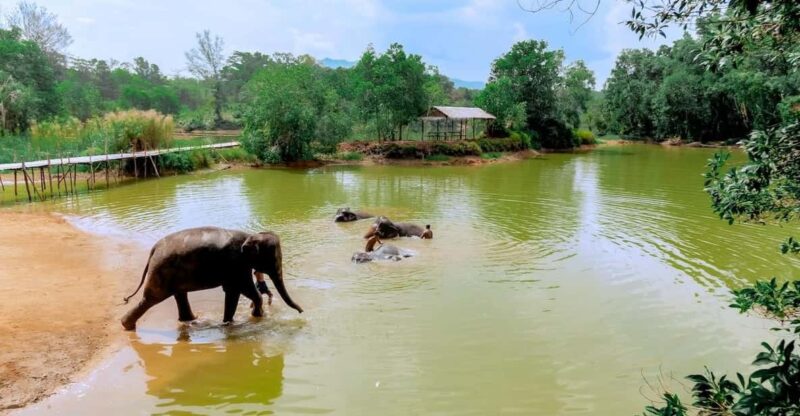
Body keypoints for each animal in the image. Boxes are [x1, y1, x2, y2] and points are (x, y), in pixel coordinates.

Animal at [121, 227, 303, 331]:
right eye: (274, 259)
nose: (301, 312)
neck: (251, 236)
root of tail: (154, 249)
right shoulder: (236, 263)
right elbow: (243, 289)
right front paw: (257, 316)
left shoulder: (235, 267)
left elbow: (233, 291)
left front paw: (228, 322)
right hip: (162, 271)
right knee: (152, 299)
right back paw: (127, 325)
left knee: (179, 294)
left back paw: (192, 320)